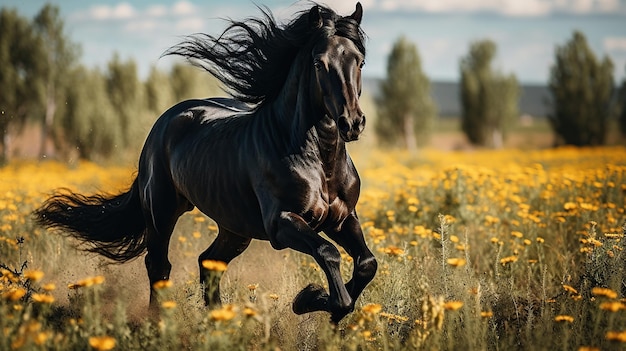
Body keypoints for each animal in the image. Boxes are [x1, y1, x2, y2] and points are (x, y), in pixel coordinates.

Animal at [35, 2, 376, 324]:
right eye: (319, 63)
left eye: (360, 61)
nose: (352, 123)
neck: (318, 162)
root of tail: (167, 120)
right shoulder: (282, 222)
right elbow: (328, 253)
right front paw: (310, 299)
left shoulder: (343, 219)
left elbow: (366, 264)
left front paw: (321, 302)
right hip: (162, 212)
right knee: (159, 265)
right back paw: (159, 322)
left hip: (234, 228)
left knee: (209, 262)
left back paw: (219, 321)